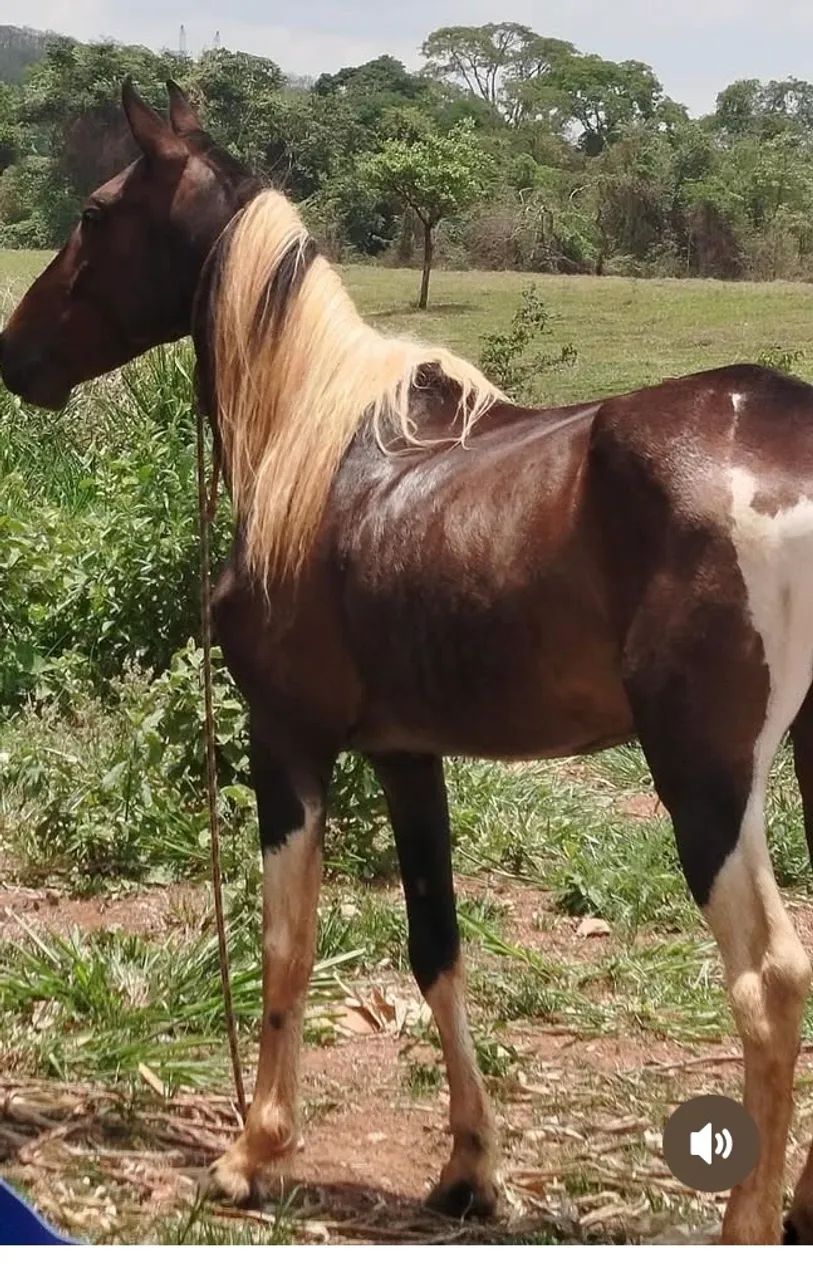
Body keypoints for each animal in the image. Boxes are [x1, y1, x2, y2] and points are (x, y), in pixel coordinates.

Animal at [3, 80, 813, 1245]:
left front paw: (252, 1151)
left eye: (96, 211)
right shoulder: (406, 755)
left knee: (769, 980)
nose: (13, 354)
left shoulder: (288, 743)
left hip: (706, 780)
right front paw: (470, 1166)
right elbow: (438, 947)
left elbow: (286, 939)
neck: (322, 446)